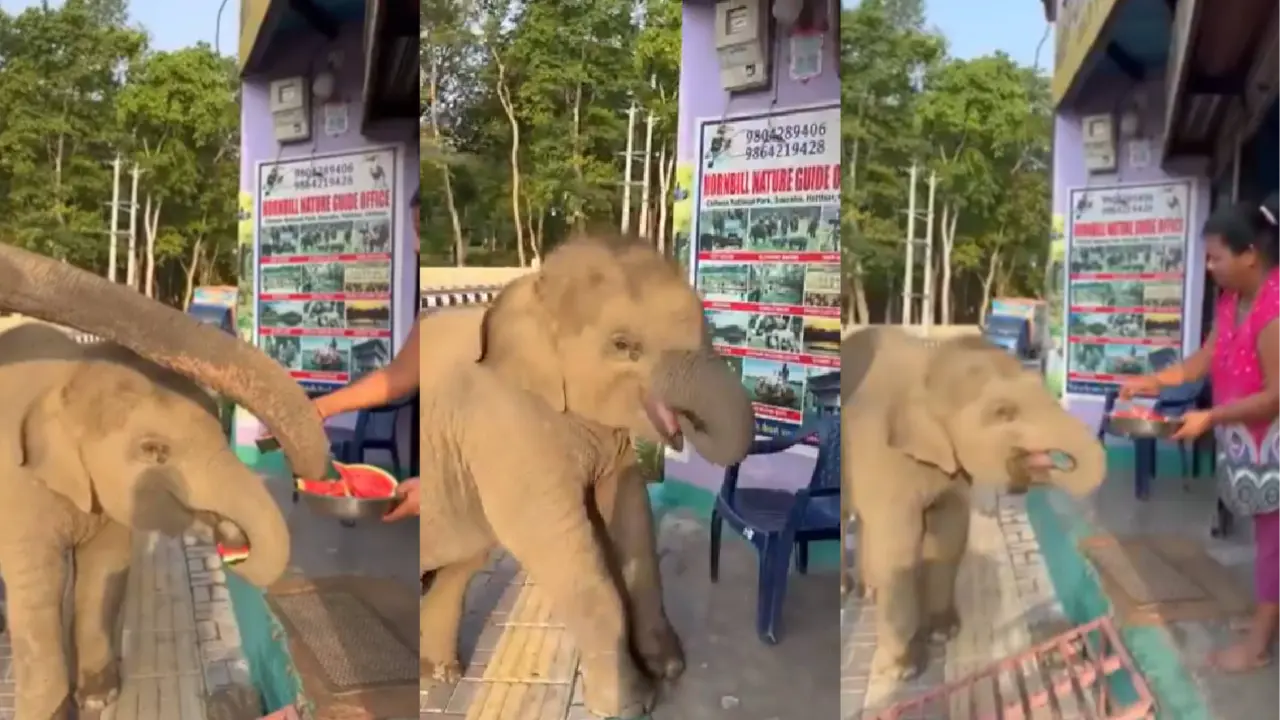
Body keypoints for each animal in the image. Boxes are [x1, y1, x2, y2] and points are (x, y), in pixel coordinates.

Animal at [0, 243, 330, 718]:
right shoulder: (16, 487)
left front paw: (100, 697)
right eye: (154, 451)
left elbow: (105, 565)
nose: (233, 541)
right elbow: (37, 586)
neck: (67, 375)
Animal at [417, 233, 757, 718]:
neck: (534, 292)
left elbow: (631, 513)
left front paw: (668, 667)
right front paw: (630, 704)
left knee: (463, 561)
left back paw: (439, 674)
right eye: (623, 344)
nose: (681, 431)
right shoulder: (506, 424)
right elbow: (559, 544)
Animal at [839, 327, 1105, 680]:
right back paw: (849, 591)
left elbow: (950, 532)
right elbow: (900, 549)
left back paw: (870, 592)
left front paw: (944, 633)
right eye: (1004, 412)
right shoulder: (881, 452)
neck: (931, 359)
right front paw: (903, 670)